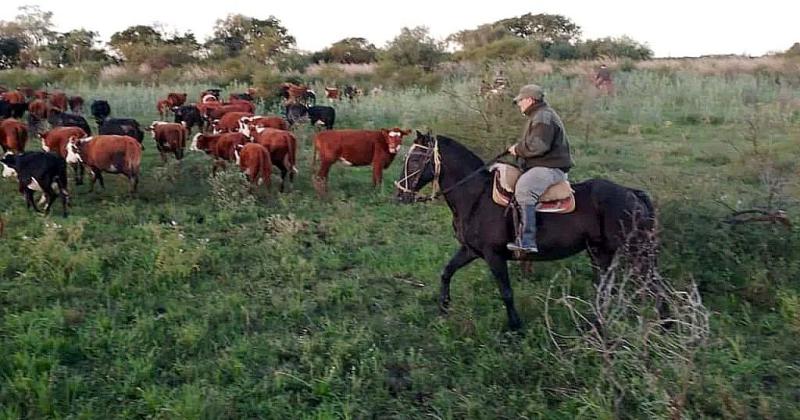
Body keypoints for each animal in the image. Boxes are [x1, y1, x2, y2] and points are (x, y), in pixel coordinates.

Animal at [396, 133, 656, 330]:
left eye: (416, 159)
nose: (400, 194)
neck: (475, 196)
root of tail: (632, 193)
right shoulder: (470, 250)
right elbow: (447, 271)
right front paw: (443, 307)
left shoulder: (494, 255)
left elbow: (506, 292)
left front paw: (515, 326)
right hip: (601, 253)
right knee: (604, 289)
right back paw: (595, 325)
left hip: (636, 252)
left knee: (654, 286)